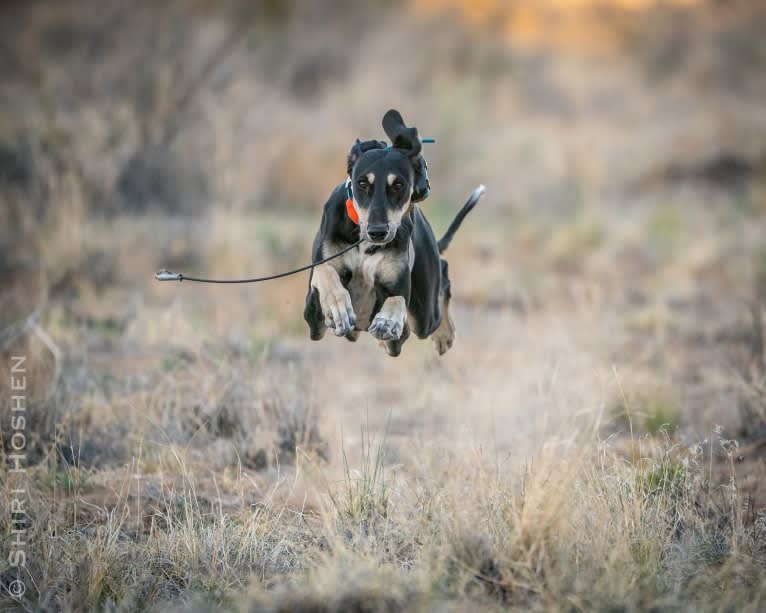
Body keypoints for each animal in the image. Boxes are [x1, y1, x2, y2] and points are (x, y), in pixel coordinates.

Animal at [304, 109, 484, 356]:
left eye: (398, 185)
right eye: (362, 183)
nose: (378, 232)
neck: (364, 244)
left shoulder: (399, 328)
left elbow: (397, 300)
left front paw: (388, 320)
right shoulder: (314, 318)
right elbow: (325, 271)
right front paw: (338, 306)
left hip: (424, 313)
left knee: (441, 280)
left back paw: (443, 335)